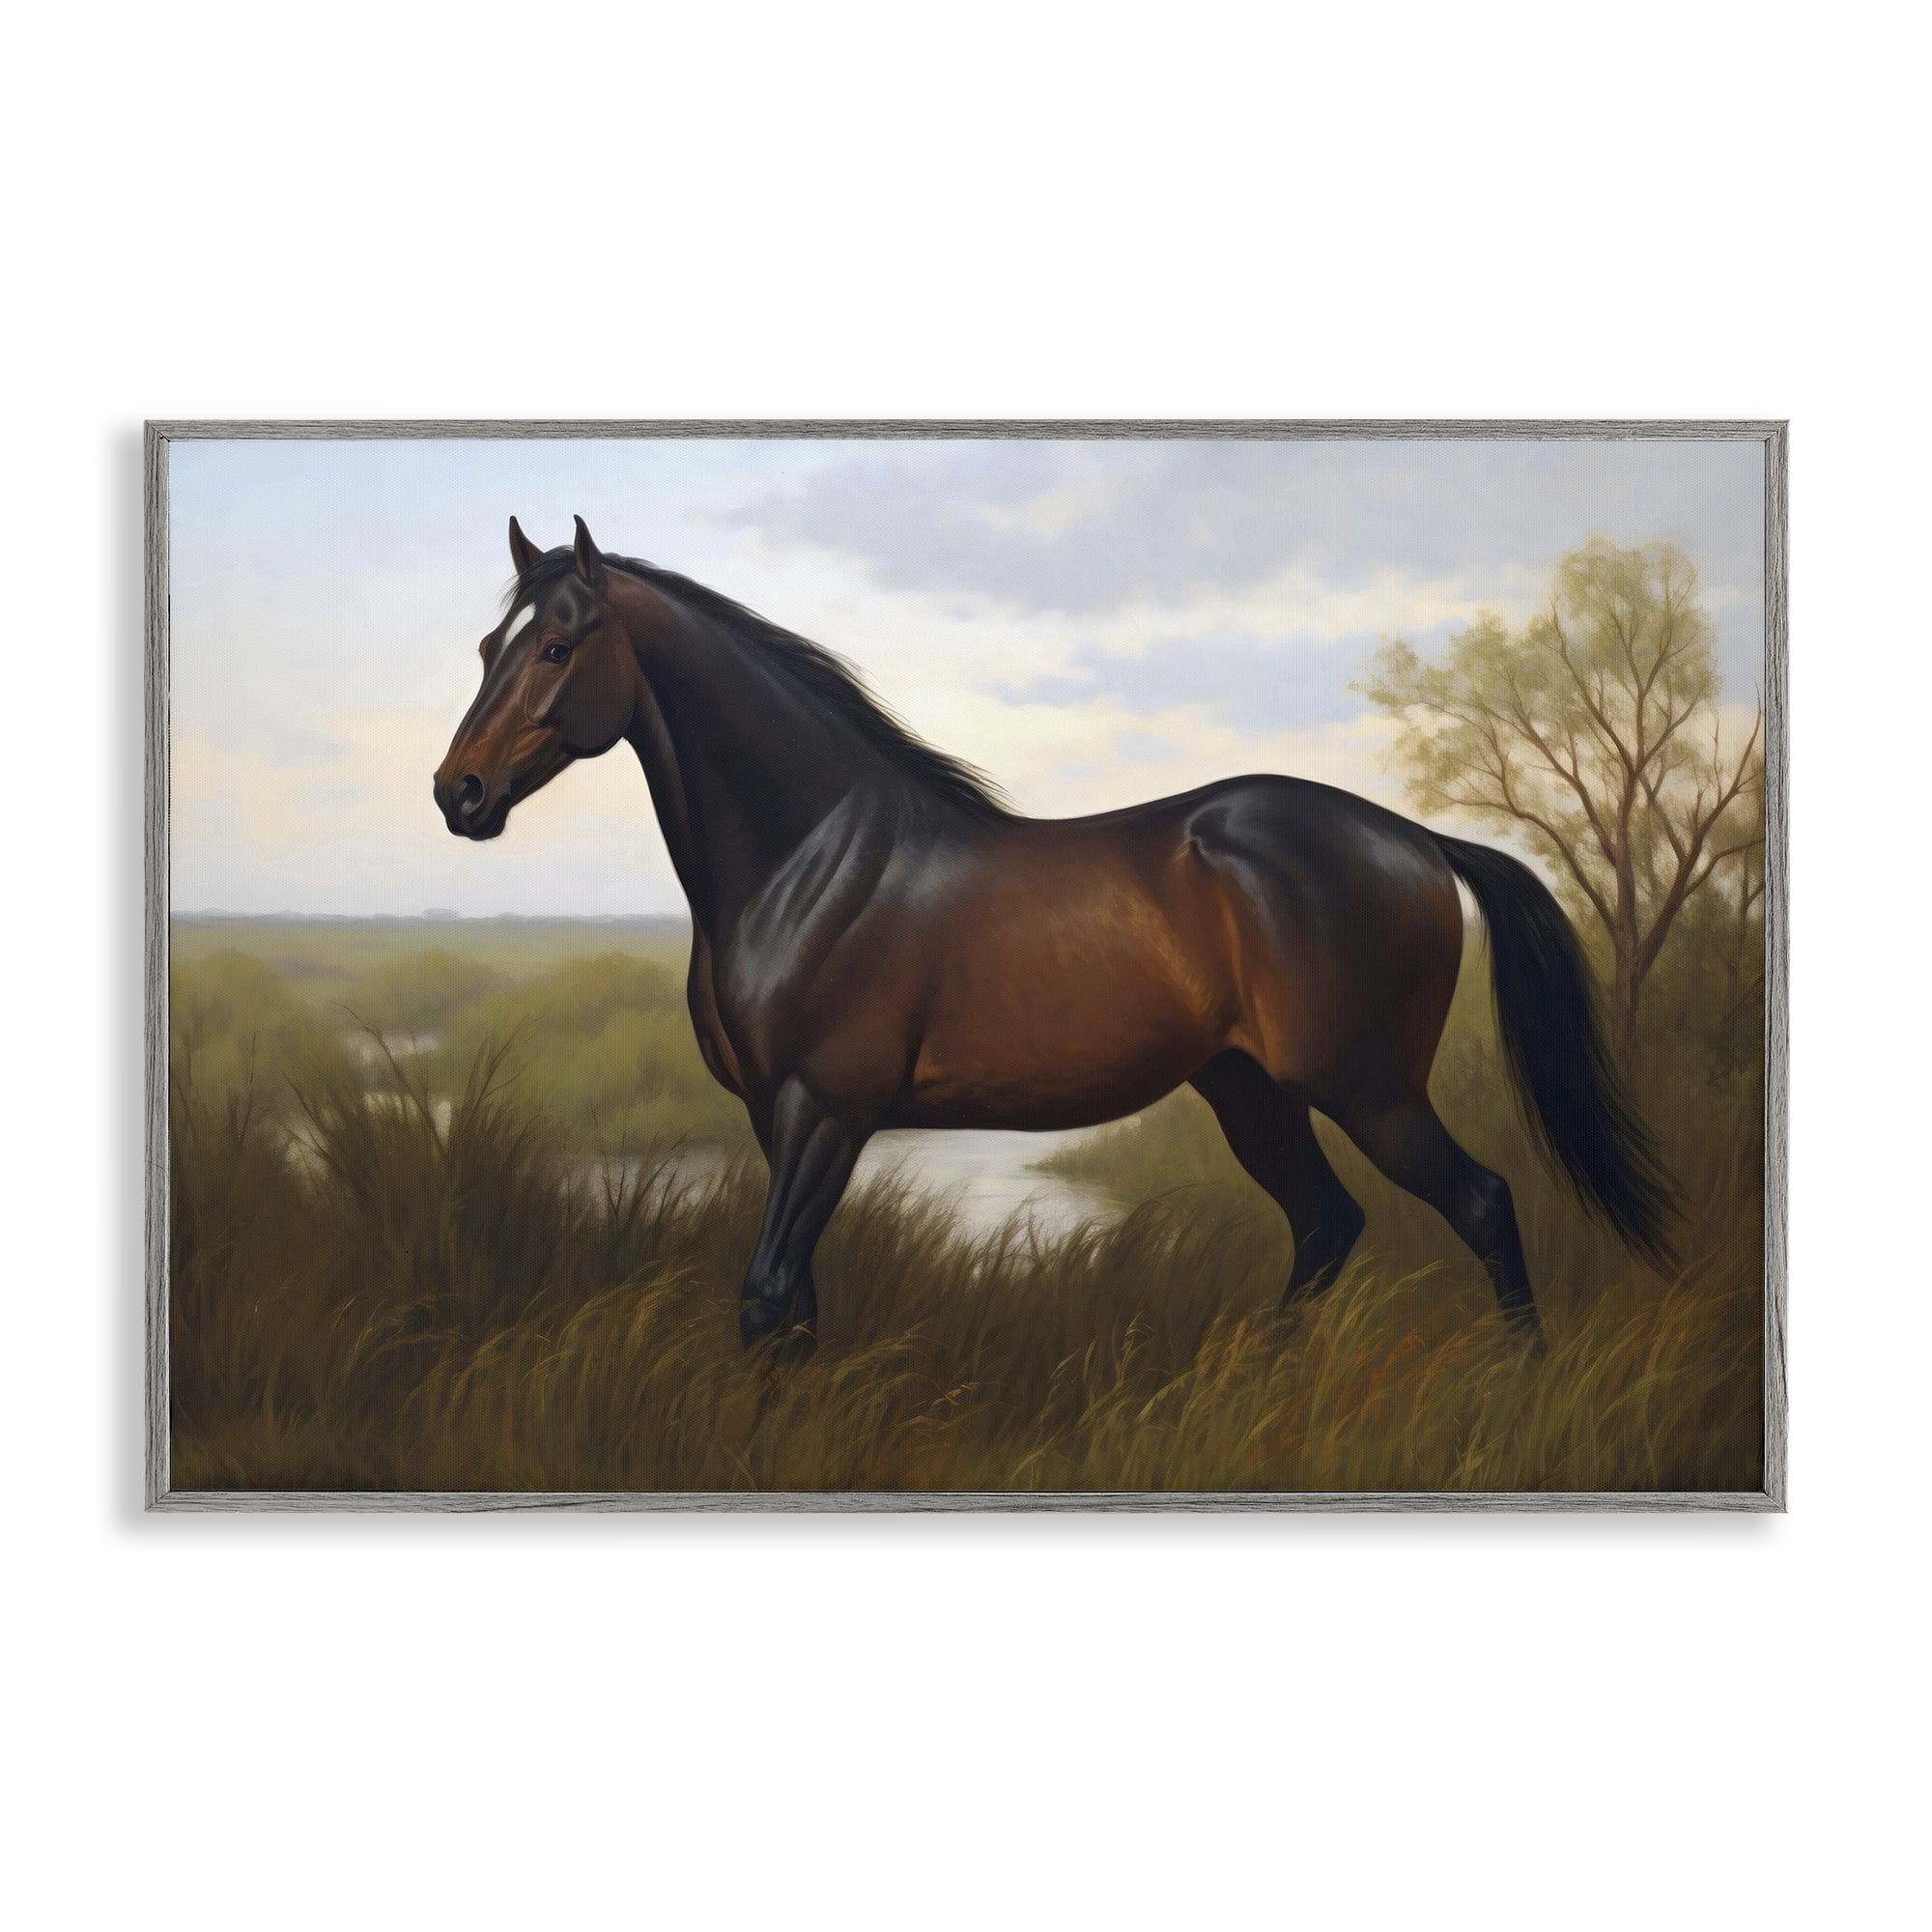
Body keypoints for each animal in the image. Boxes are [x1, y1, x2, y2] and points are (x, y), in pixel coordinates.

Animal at [434, 516, 1678, 1354]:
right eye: (489, 645)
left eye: (558, 647)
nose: (458, 793)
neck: (809, 862)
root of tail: (1413, 837)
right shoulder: (770, 1116)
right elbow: (797, 1305)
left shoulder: (825, 1109)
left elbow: (765, 1293)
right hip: (1248, 1089)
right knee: (1327, 1224)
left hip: (1364, 1085)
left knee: (1478, 1204)